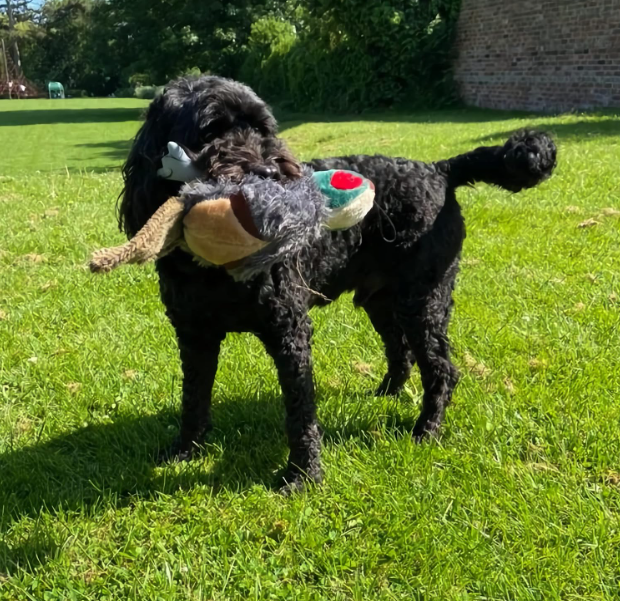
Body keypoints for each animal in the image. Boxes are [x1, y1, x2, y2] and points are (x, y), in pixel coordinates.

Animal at [116, 75, 556, 490]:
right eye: (210, 130)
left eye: (263, 128)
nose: (270, 171)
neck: (215, 269)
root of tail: (438, 170)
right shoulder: (195, 334)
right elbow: (194, 397)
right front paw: (185, 451)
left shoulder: (289, 331)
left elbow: (299, 410)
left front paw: (302, 474)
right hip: (382, 300)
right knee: (401, 350)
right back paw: (387, 394)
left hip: (424, 300)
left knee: (441, 369)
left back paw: (426, 429)